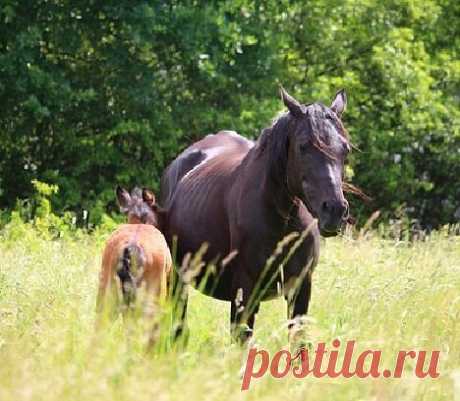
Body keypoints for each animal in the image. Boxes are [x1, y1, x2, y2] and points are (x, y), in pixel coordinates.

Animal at [160, 86, 350, 340]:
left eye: (345, 149)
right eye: (303, 146)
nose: (335, 210)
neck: (281, 221)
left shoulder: (300, 288)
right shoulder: (245, 291)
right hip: (179, 277)